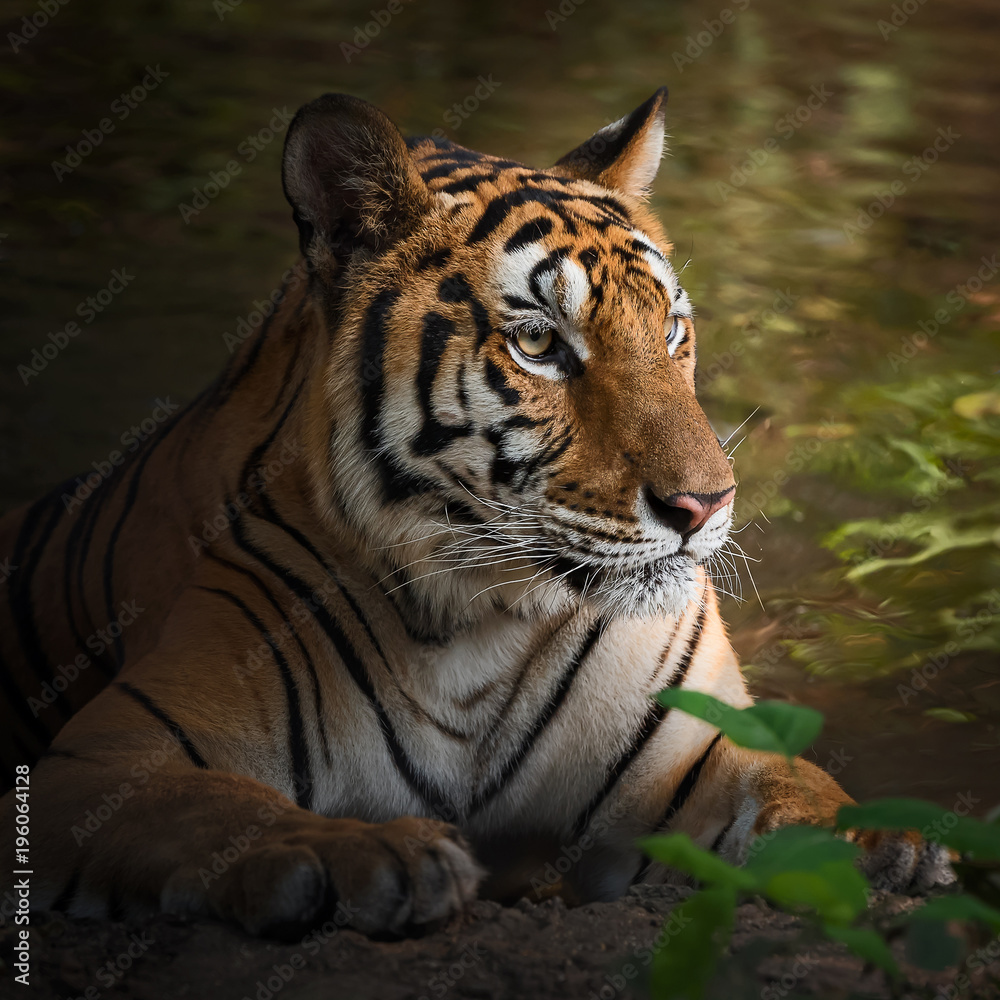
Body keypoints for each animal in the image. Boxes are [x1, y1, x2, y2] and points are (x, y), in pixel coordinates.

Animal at [0, 87, 952, 938]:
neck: (476, 622)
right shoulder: (102, 766)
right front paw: (358, 855)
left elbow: (796, 785)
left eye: (672, 331)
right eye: (539, 343)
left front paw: (889, 843)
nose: (707, 502)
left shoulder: (694, 758)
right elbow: (225, 810)